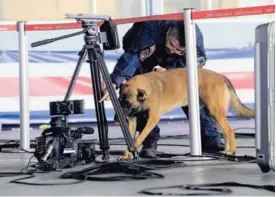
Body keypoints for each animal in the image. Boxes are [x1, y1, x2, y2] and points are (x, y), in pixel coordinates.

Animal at [117, 67, 256, 159]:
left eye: (127, 103)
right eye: (119, 102)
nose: (118, 117)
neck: (147, 89)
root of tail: (221, 76)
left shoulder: (152, 119)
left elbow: (138, 139)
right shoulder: (132, 122)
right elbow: (130, 139)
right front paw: (127, 154)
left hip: (216, 112)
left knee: (229, 130)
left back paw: (232, 151)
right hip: (214, 115)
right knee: (225, 131)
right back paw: (226, 151)